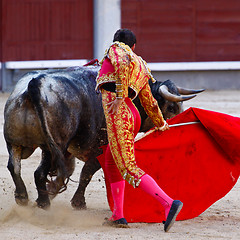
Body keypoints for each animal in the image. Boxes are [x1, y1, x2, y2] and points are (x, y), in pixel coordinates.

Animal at [3, 65, 203, 208]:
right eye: (171, 107)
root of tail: (35, 85)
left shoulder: (68, 152)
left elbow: (70, 171)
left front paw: (53, 191)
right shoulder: (101, 148)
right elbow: (86, 173)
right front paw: (78, 202)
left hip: (15, 142)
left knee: (15, 166)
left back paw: (23, 197)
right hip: (52, 147)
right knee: (38, 171)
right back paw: (42, 202)